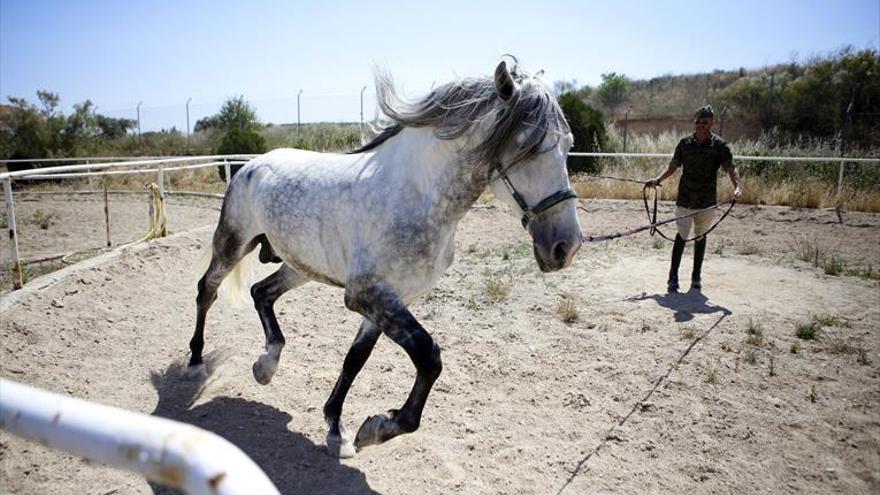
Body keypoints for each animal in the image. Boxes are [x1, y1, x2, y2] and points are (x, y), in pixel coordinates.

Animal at [187, 60, 584, 460]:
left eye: (568, 145)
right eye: (526, 146)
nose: (566, 247)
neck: (415, 196)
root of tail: (251, 165)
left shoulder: (390, 298)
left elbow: (355, 359)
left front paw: (339, 430)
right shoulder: (367, 295)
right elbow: (429, 356)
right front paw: (379, 427)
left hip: (299, 265)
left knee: (261, 293)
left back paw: (266, 366)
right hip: (233, 243)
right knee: (207, 290)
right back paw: (196, 364)